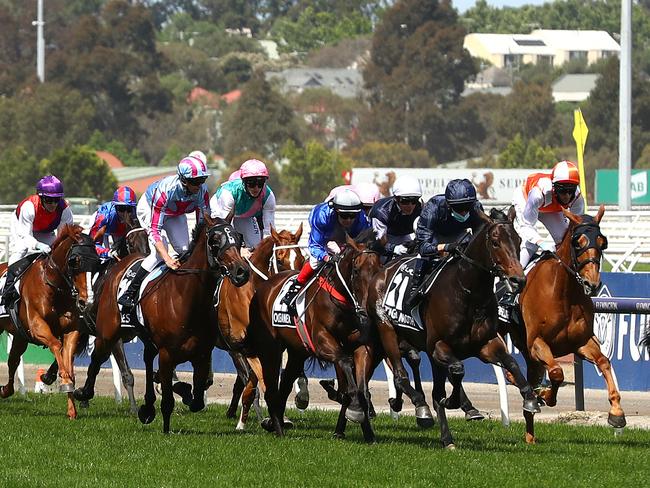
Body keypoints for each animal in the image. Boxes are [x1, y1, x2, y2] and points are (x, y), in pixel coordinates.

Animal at [0, 225, 100, 420]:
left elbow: (67, 356)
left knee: (13, 360)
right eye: (75, 261)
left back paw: (5, 390)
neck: (53, 286)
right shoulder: (37, 326)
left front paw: (71, 407)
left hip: (20, 337)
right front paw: (59, 378)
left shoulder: (72, 330)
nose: (87, 301)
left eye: (97, 263)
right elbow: (56, 345)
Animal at [247, 229, 380, 438]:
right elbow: (345, 362)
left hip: (297, 352)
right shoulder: (321, 342)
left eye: (379, 268)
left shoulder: (361, 345)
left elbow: (361, 387)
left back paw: (277, 423)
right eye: (356, 270)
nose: (367, 308)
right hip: (270, 348)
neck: (341, 304)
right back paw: (278, 429)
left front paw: (368, 433)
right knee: (271, 389)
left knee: (284, 386)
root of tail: (265, 286)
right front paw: (355, 409)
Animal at [368, 208, 540, 448]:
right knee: (401, 375)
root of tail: (383, 270)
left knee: (425, 381)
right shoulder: (439, 346)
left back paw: (442, 432)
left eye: (518, 241)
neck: (468, 292)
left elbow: (512, 363)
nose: (518, 280)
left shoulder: (486, 344)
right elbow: (458, 371)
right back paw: (422, 411)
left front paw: (530, 399)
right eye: (495, 242)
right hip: (388, 331)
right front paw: (452, 401)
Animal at [498, 204, 620, 444]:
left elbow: (604, 362)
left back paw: (530, 436)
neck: (563, 292)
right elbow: (556, 373)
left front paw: (617, 413)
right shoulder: (537, 343)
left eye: (602, 242)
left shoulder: (581, 342)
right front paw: (544, 394)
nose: (592, 283)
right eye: (578, 242)